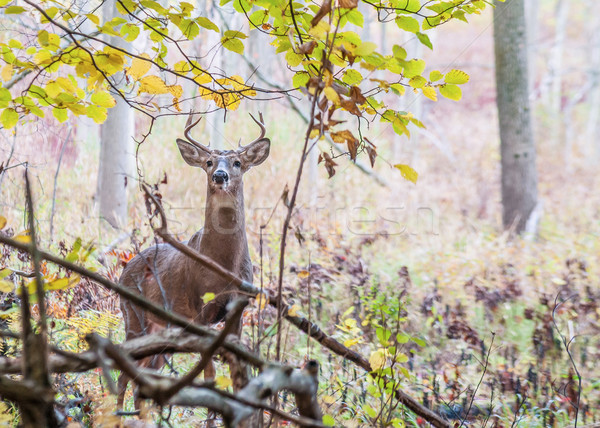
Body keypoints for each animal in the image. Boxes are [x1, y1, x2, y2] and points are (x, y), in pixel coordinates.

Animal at [116, 113, 270, 412]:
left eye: (238, 163)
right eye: (208, 162)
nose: (220, 175)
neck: (223, 266)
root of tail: (124, 269)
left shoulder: (238, 309)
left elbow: (236, 374)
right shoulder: (199, 308)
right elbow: (209, 374)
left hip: (161, 328)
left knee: (143, 379)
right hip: (133, 316)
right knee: (122, 375)